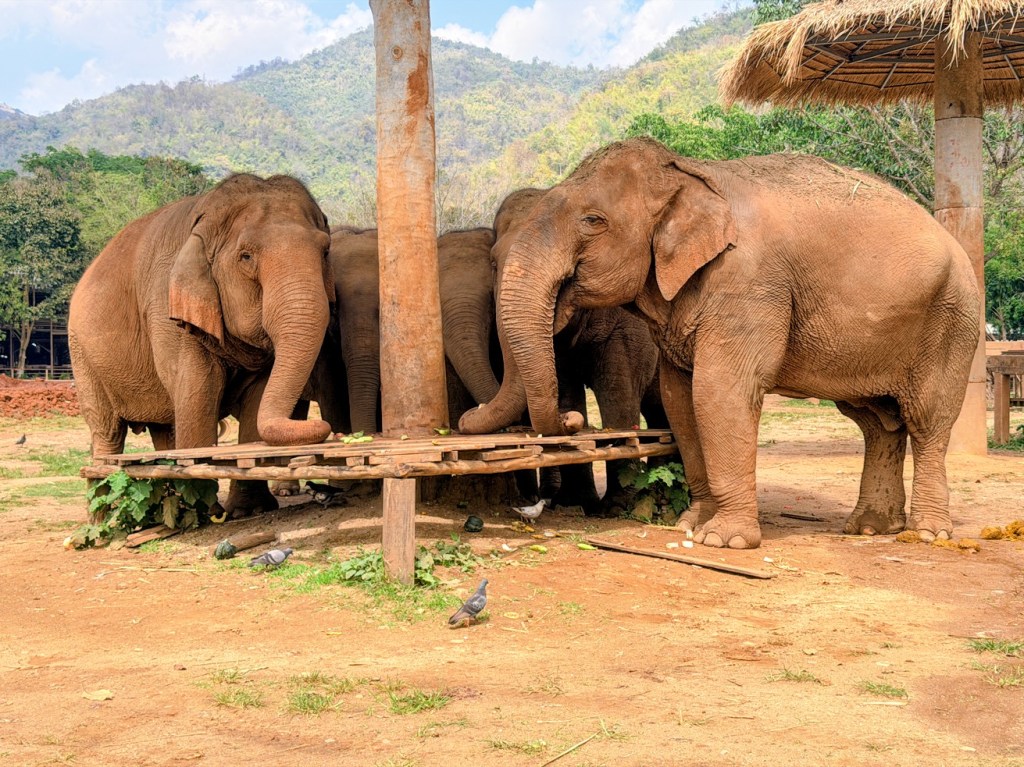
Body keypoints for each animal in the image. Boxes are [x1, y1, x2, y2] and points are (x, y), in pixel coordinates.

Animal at [69, 173, 334, 516]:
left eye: (325, 251)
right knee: (107, 430)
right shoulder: (166, 308)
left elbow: (257, 397)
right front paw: (206, 512)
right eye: (246, 257)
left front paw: (249, 511)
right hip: (82, 354)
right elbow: (199, 391)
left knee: (165, 430)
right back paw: (103, 520)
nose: (328, 427)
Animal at [460, 187, 669, 513]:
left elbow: (617, 396)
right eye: (493, 264)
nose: (472, 409)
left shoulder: (631, 327)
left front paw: (614, 507)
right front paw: (572, 503)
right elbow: (568, 389)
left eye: (567, 277)